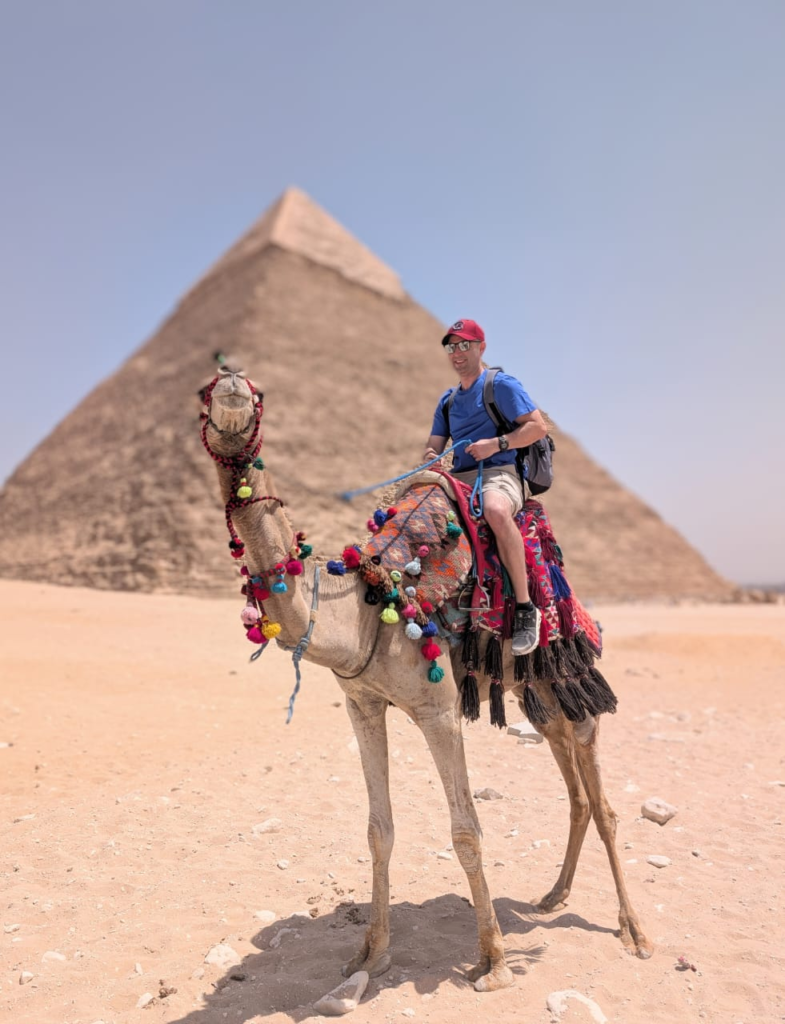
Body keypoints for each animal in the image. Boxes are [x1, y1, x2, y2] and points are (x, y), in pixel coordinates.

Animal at [202, 367, 652, 993]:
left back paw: (634, 932)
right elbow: (378, 830)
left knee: (604, 804)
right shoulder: (362, 705)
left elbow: (465, 831)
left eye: (256, 392)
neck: (368, 603)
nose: (230, 381)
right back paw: (553, 896)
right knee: (577, 794)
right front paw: (370, 955)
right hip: (534, 691)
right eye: (204, 395)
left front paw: (494, 962)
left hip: (573, 676)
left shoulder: (438, 710)